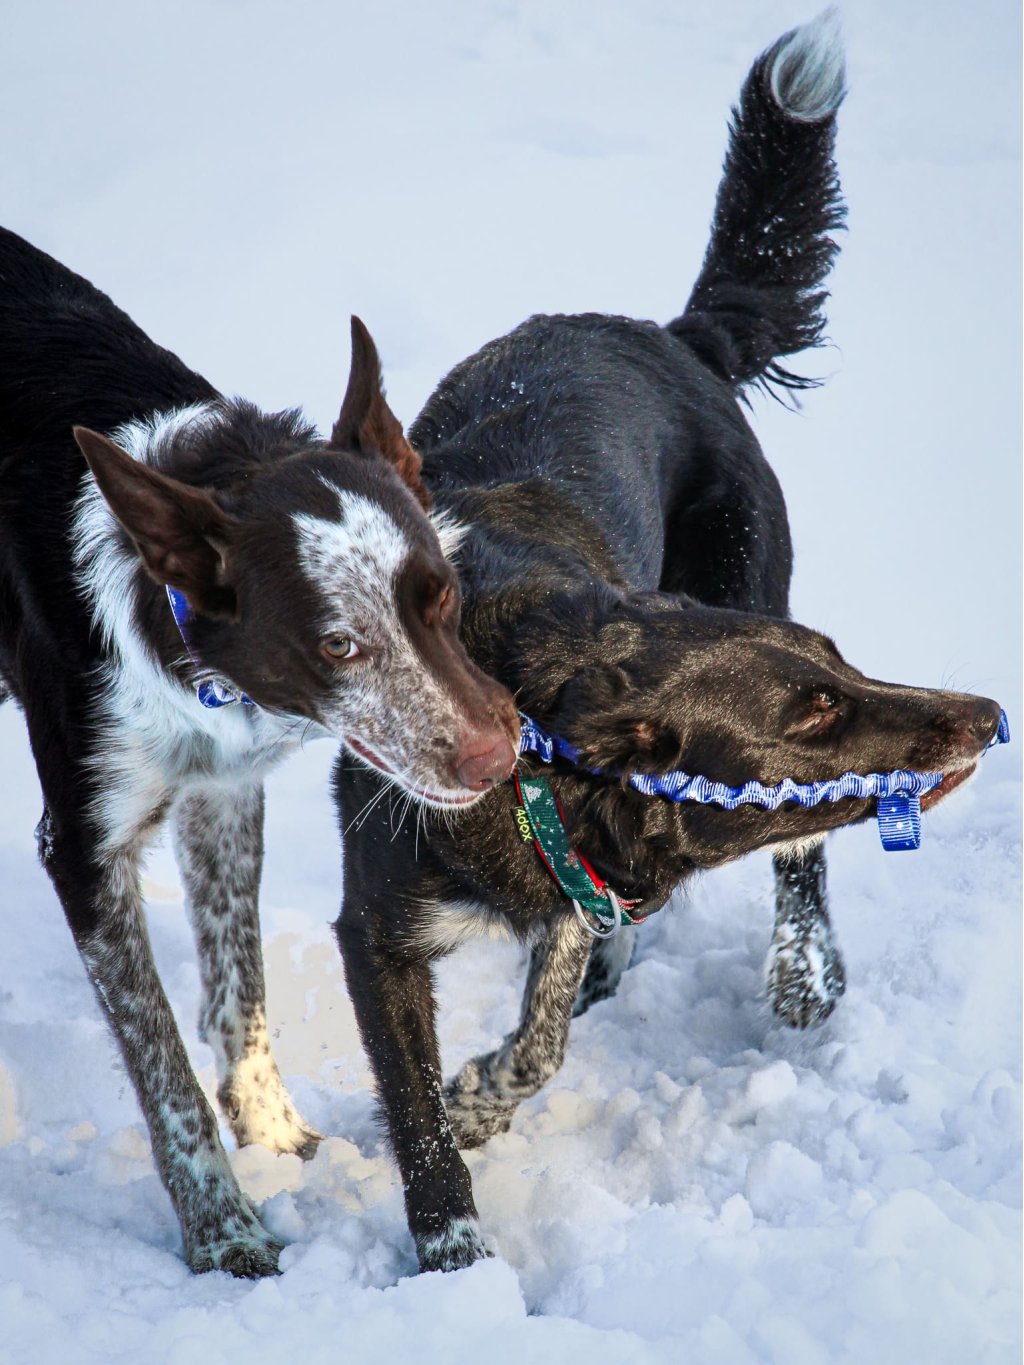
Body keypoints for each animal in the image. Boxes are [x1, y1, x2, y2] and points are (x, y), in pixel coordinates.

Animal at [0, 240, 516, 1272]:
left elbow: (239, 986)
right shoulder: (81, 846)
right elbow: (160, 1063)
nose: (497, 754)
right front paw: (222, 1227)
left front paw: (274, 1134)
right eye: (338, 645)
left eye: (440, 591)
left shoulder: (222, 788)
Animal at [334, 10, 1004, 1272]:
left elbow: (542, 1018)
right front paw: (451, 1247)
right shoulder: (381, 926)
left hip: (751, 558)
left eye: (842, 667)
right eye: (813, 709)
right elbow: (429, 1091)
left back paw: (803, 971)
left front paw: (484, 1096)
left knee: (795, 860)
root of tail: (667, 334)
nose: (989, 714)